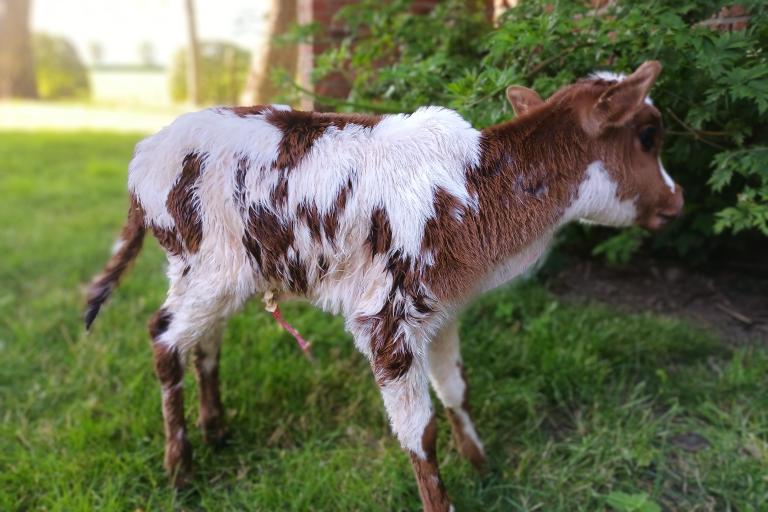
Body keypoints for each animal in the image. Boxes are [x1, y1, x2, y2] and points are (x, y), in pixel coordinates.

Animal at [85, 62, 684, 510]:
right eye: (648, 136)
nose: (677, 201)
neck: (475, 189)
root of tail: (145, 156)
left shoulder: (444, 309)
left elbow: (456, 389)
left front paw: (482, 465)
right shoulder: (387, 317)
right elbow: (419, 432)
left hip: (220, 274)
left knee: (204, 339)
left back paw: (216, 430)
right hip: (204, 265)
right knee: (164, 337)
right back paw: (181, 469)